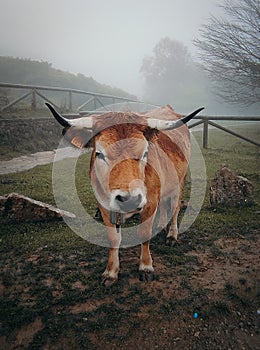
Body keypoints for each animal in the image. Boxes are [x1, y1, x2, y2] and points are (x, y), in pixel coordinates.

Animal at [47, 102, 204, 286]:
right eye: (99, 153)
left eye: (145, 153)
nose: (130, 200)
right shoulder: (104, 205)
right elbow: (113, 238)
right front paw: (111, 272)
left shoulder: (150, 202)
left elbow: (144, 233)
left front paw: (146, 267)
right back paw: (161, 226)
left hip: (180, 181)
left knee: (175, 206)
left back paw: (172, 235)